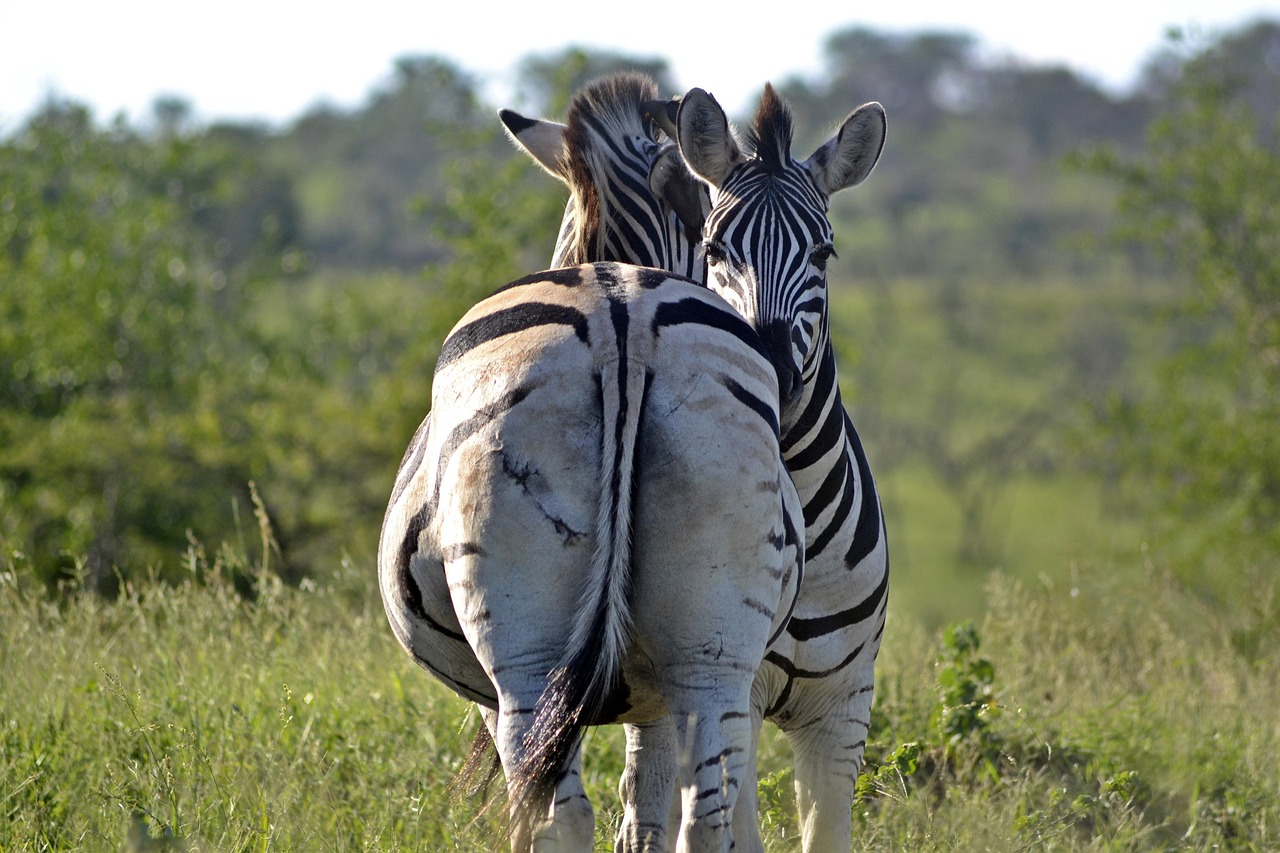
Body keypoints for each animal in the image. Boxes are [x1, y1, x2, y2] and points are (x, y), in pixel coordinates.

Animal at [378, 72, 805, 852]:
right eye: (710, 233)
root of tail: (619, 317)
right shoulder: (660, 683)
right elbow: (648, 802)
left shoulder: (510, 692)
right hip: (714, 638)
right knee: (706, 814)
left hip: (524, 658)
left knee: (551, 808)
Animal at [670, 84, 891, 852]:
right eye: (714, 249)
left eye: (823, 252)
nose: (766, 368)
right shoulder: (731, 693)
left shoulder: (844, 707)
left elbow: (827, 836)